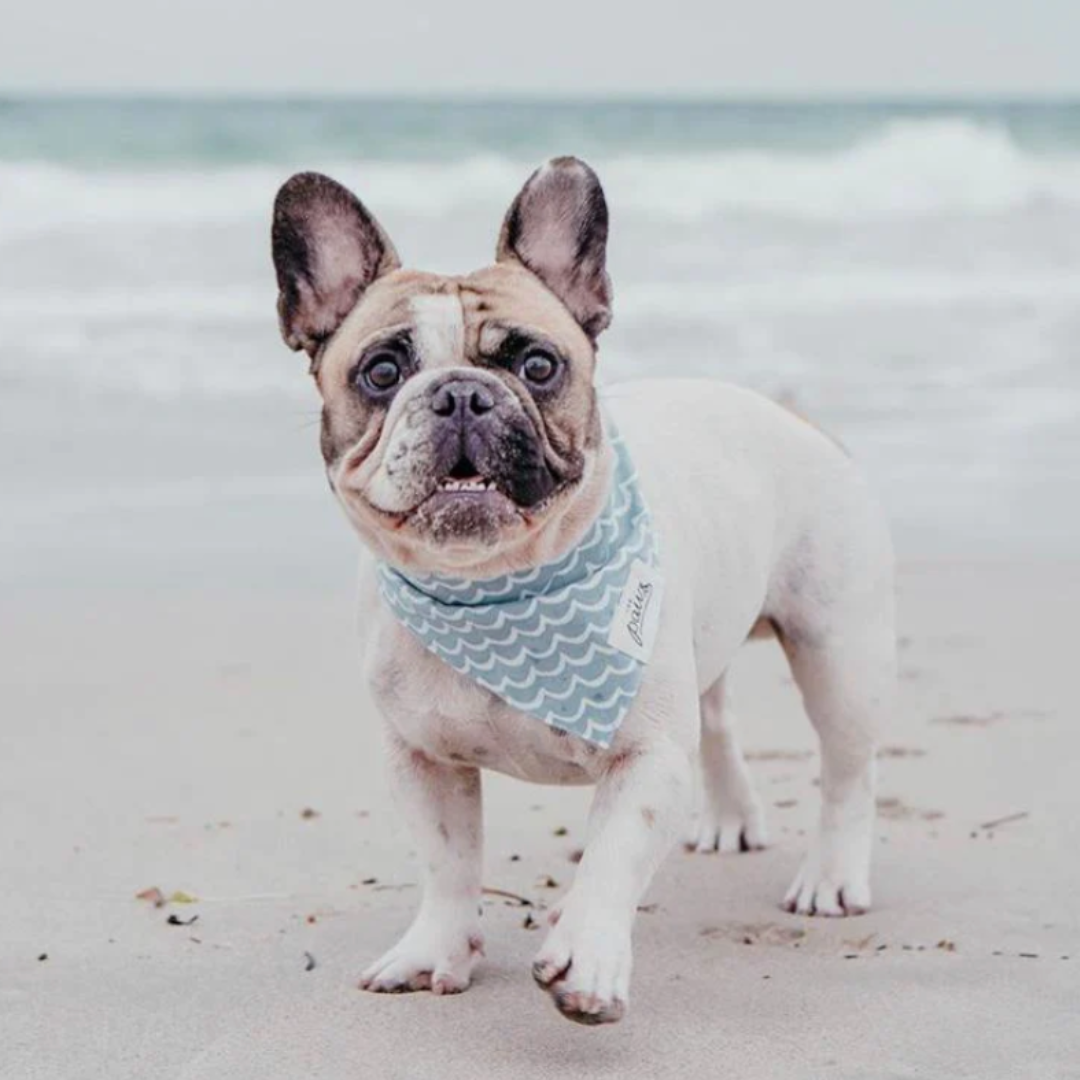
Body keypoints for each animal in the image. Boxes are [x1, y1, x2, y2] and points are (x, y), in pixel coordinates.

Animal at [267, 156, 894, 1023]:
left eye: (538, 366)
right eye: (382, 372)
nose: (462, 393)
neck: (497, 584)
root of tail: (788, 414)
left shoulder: (646, 757)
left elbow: (612, 858)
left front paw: (587, 960)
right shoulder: (421, 759)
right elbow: (447, 861)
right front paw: (434, 950)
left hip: (837, 651)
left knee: (847, 771)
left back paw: (832, 877)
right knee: (718, 719)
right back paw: (730, 816)